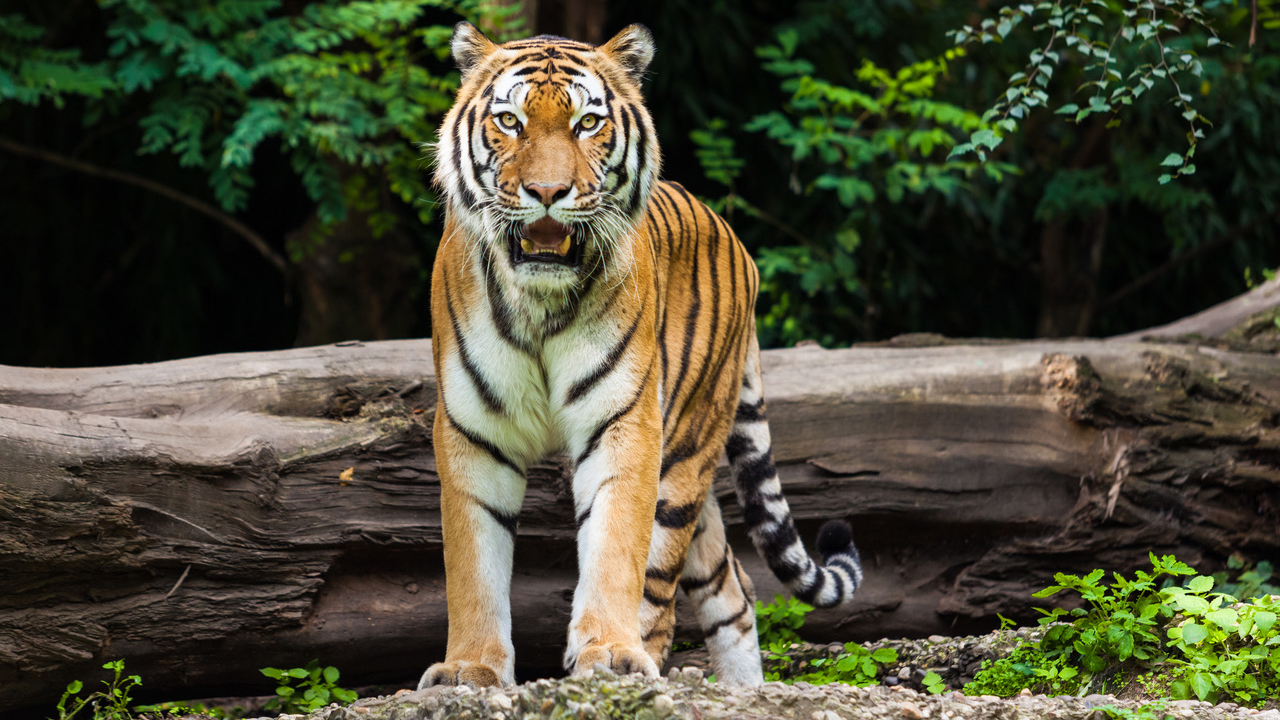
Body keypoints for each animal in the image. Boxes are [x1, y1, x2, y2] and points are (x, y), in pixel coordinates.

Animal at [419, 20, 860, 681]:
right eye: (511, 121)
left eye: (586, 123)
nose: (547, 191)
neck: (540, 302)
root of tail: (735, 239)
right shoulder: (474, 432)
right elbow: (472, 566)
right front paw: (470, 669)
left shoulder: (625, 422)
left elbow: (615, 548)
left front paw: (607, 652)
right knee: (733, 586)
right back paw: (741, 690)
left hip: (683, 454)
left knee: (665, 590)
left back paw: (642, 660)